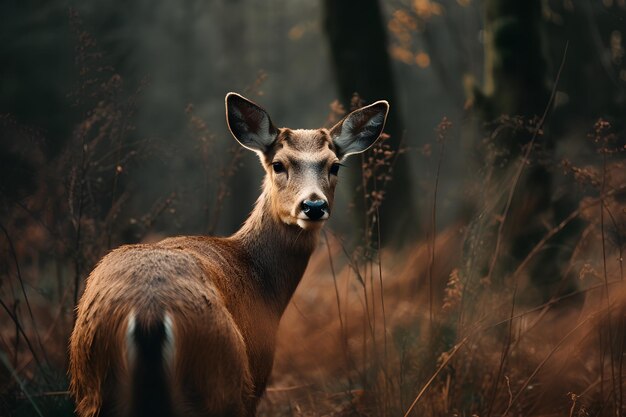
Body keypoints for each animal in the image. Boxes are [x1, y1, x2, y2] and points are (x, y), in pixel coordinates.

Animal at [70, 92, 388, 416]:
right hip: (221, 381)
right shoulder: (257, 374)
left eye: (334, 166)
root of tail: (149, 314)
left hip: (96, 390)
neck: (263, 284)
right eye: (278, 164)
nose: (313, 205)